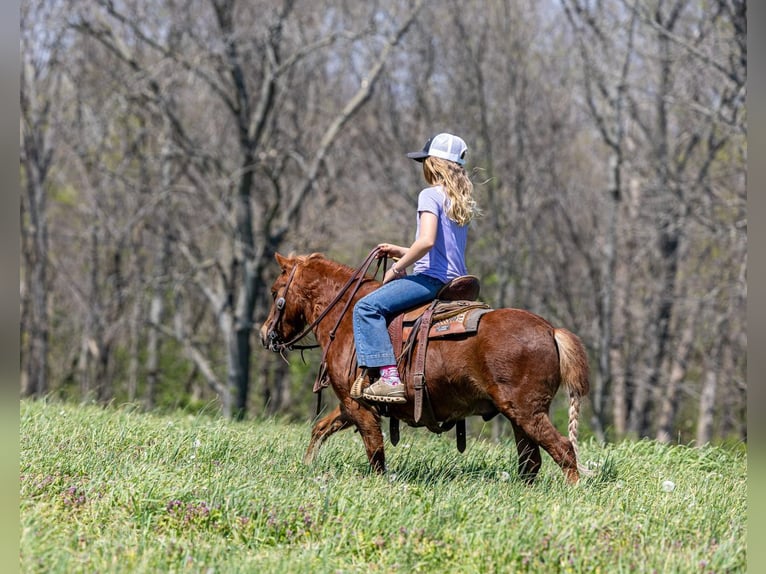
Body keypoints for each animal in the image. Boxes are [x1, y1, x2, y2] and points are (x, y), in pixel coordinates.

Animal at [259, 252, 590, 484]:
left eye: (275, 291)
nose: (264, 334)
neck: (346, 317)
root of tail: (550, 330)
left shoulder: (358, 406)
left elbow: (374, 450)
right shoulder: (349, 403)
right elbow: (320, 429)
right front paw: (307, 465)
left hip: (526, 411)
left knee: (563, 449)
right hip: (518, 417)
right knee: (530, 460)